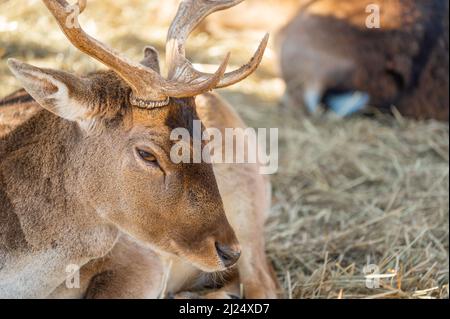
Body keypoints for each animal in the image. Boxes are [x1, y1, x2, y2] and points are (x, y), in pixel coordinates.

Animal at [0, 0, 278, 300]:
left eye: (206, 138)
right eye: (147, 154)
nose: (228, 251)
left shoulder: (143, 260)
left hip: (248, 203)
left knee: (264, 283)